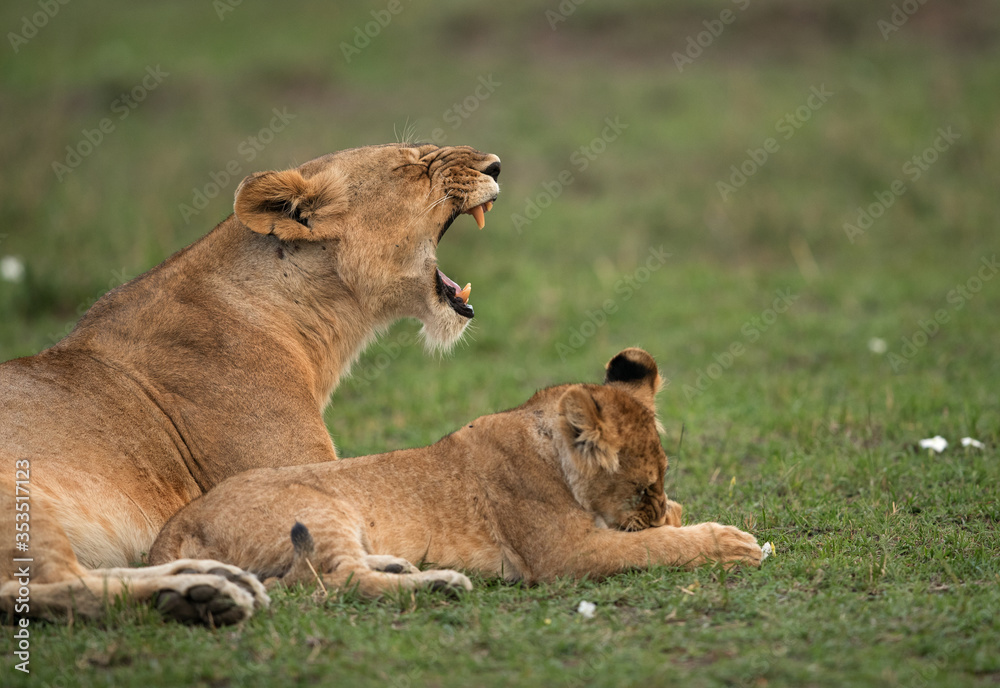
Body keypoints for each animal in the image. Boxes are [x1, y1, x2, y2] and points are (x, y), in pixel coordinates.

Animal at [1, 143, 501, 625]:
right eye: (411, 165)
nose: (495, 166)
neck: (317, 319)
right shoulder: (289, 472)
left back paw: (212, 576)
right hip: (20, 495)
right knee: (48, 587)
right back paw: (199, 593)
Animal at [149, 349, 762, 606]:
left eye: (660, 483)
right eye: (641, 487)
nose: (655, 507)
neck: (546, 443)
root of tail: (169, 531)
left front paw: (679, 518)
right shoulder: (563, 556)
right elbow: (652, 547)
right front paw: (731, 543)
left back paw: (410, 568)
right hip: (322, 509)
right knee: (336, 581)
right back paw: (440, 584)